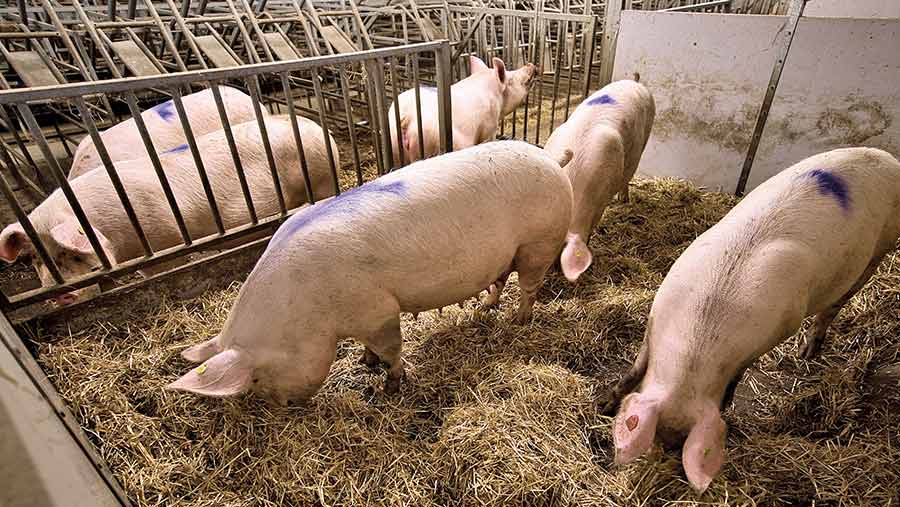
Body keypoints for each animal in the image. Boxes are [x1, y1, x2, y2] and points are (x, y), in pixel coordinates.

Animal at [0, 115, 338, 306]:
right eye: (34, 258)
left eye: (71, 252)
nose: (60, 295)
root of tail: (314, 126)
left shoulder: (164, 239)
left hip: (321, 179)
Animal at [165, 142, 572, 404]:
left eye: (257, 378)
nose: (285, 406)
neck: (305, 308)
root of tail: (552, 158)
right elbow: (372, 348)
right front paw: (365, 362)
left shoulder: (378, 310)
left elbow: (392, 348)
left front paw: (390, 386)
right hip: (508, 253)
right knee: (500, 279)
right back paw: (484, 309)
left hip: (539, 242)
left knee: (530, 286)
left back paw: (518, 321)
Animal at [600, 148, 900, 496]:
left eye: (677, 441)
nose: (665, 455)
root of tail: (888, 158)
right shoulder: (656, 314)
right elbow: (636, 367)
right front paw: (602, 404)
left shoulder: (773, 334)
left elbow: (738, 374)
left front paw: (728, 402)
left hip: (880, 249)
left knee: (836, 304)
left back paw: (806, 353)